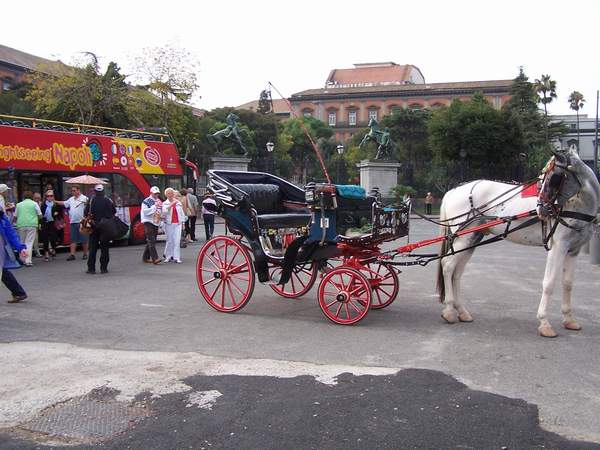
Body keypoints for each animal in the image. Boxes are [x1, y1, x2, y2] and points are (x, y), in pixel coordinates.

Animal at [436, 146, 600, 337]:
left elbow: (567, 284)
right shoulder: (558, 246)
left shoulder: (573, 250)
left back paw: (461, 310)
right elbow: (549, 282)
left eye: (553, 177)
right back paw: (449, 310)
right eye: (546, 178)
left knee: (457, 272)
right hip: (463, 238)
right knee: (448, 265)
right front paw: (544, 322)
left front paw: (569, 320)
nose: (540, 209)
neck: (575, 204)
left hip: (472, 238)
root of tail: (453, 191)